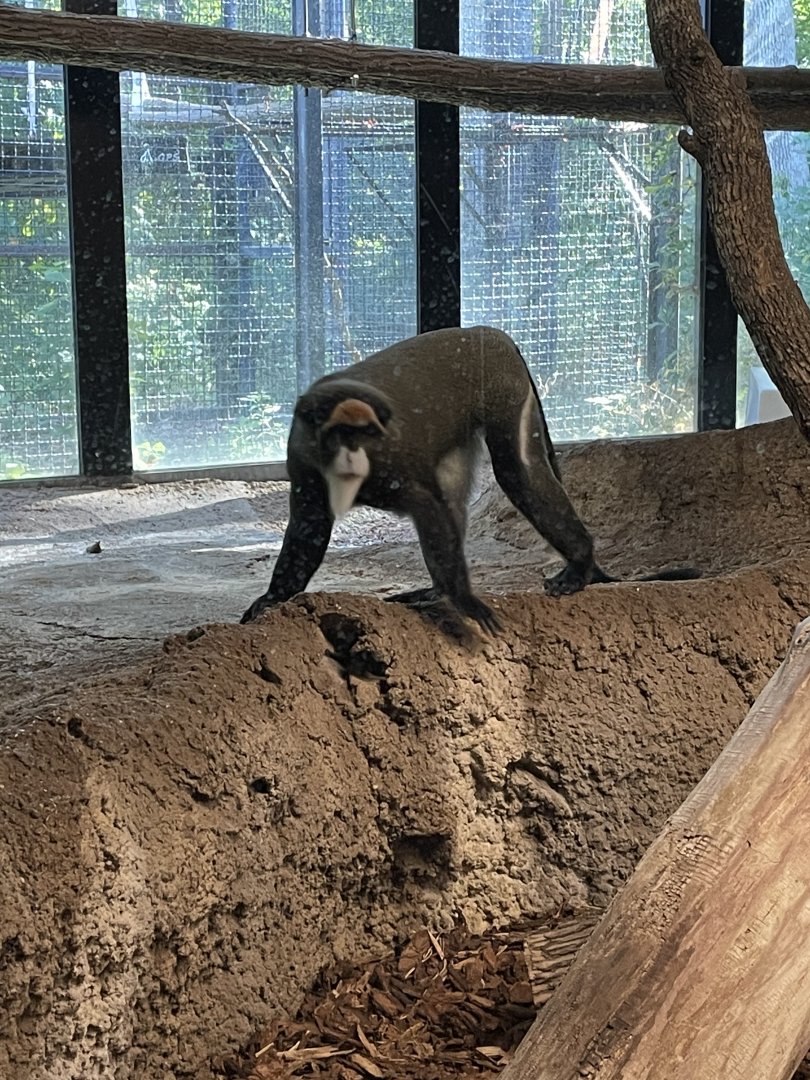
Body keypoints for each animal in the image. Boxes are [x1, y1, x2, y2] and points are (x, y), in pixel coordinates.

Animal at [240, 325, 699, 633]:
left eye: (363, 433)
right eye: (340, 434)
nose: (353, 456)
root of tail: (490, 333)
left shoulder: (391, 464)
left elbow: (427, 505)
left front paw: (465, 601)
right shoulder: (303, 462)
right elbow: (310, 527)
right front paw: (273, 598)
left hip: (505, 389)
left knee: (518, 472)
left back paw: (579, 565)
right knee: (457, 497)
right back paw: (437, 590)